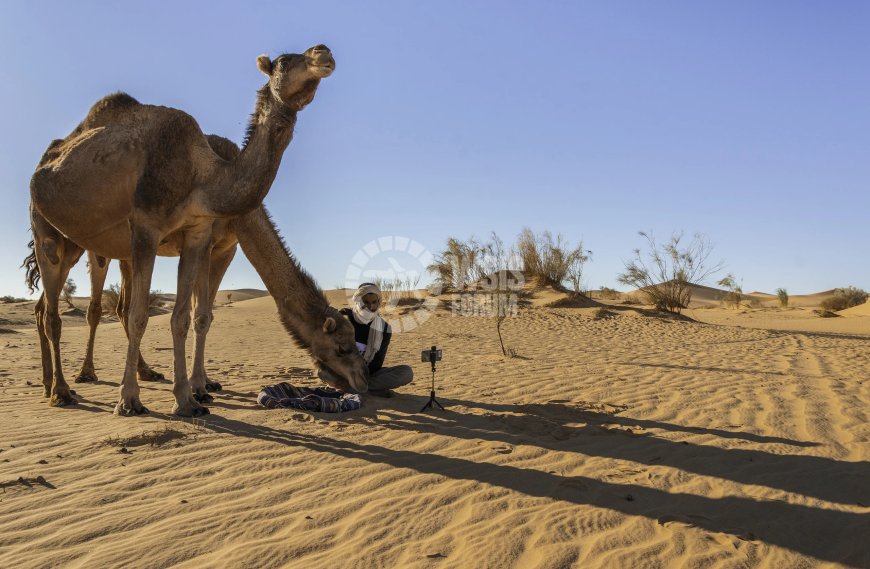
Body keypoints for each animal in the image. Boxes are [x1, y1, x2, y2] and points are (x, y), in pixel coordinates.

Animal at [29, 45, 368, 418]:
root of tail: (45, 162)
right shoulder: (150, 228)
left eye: (355, 344)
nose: (322, 53)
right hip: (49, 232)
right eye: (283, 62)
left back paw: (61, 381)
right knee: (58, 310)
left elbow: (188, 316)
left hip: (92, 245)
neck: (206, 176)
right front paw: (131, 400)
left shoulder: (203, 237)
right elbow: (143, 316)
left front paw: (190, 397)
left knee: (54, 307)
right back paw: (65, 388)